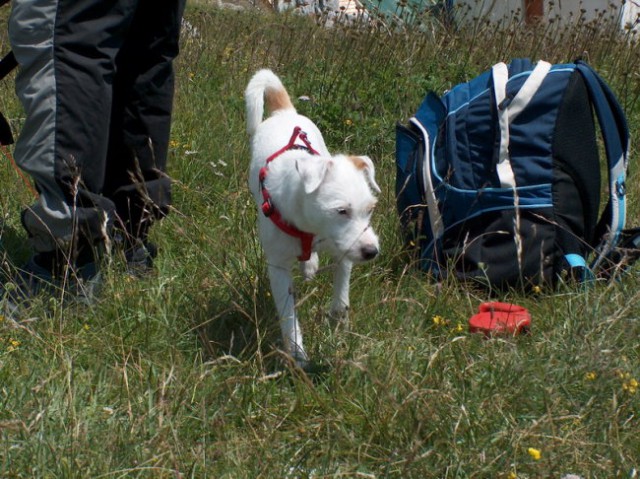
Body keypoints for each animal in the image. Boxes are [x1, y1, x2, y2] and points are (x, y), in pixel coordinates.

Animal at [245, 68, 380, 368]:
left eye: (370, 209)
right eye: (341, 211)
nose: (372, 252)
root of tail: (284, 112)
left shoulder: (341, 248)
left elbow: (342, 289)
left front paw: (339, 320)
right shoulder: (278, 267)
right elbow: (288, 313)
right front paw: (297, 355)